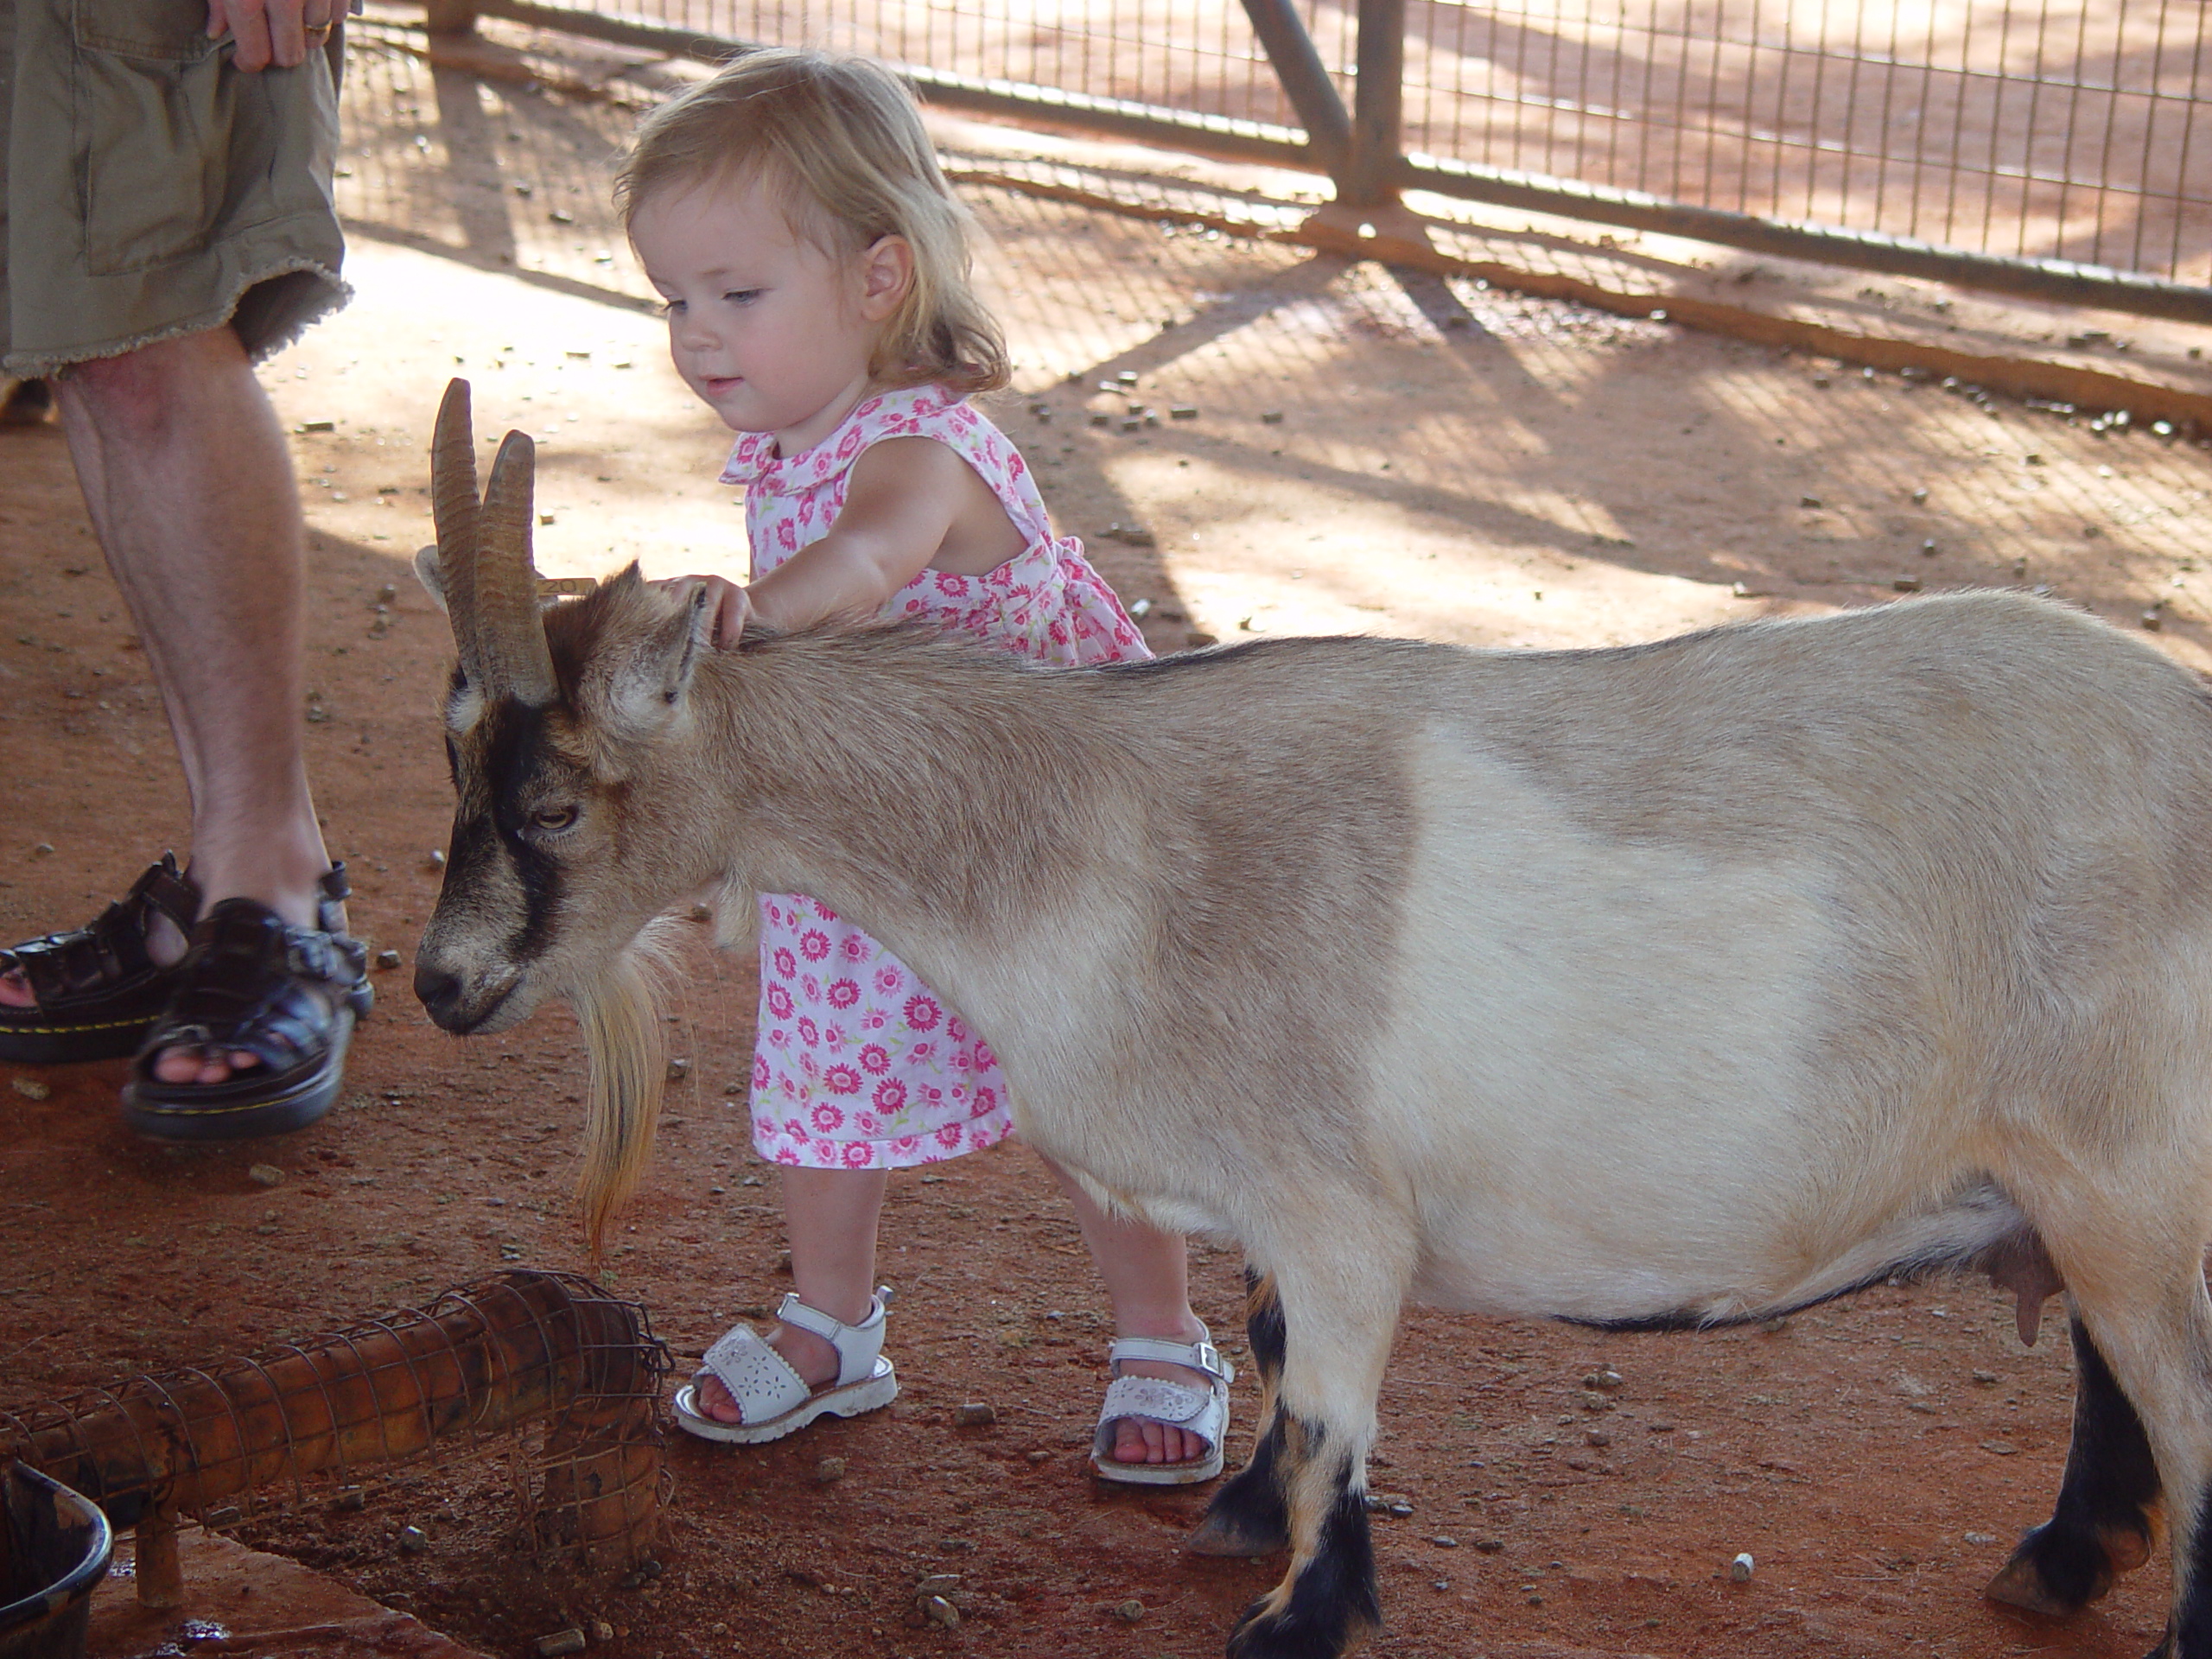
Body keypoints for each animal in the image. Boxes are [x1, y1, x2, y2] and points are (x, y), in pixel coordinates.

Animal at [417, 382, 2212, 1659]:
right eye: (454, 768)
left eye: (555, 804)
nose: (440, 983)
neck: (1100, 831)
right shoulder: (1272, 1211)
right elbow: (1278, 1357)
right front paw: (1238, 1517)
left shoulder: (1341, 1202)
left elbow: (1339, 1395)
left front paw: (1300, 1616)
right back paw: (2061, 1561)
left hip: (2128, 1169)